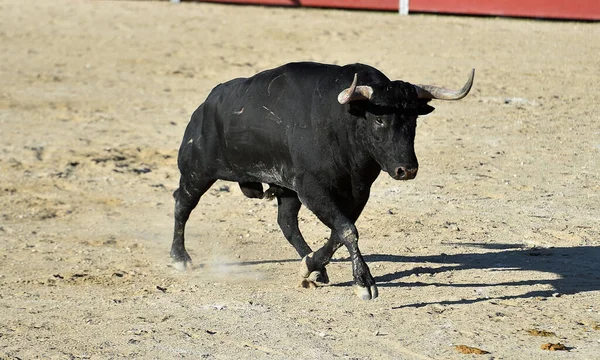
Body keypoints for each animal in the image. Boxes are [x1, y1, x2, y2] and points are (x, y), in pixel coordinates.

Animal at [170, 62, 474, 300]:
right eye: (379, 119)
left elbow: (339, 233)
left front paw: (311, 266)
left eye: (413, 120)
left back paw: (314, 269)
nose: (406, 170)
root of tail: (207, 103)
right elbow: (348, 230)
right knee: (183, 204)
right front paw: (364, 283)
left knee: (287, 223)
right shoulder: (312, 189)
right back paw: (179, 258)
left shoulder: (357, 192)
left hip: (285, 190)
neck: (342, 125)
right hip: (197, 171)